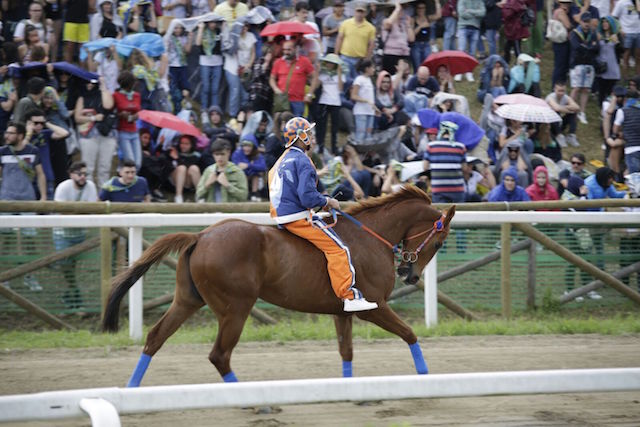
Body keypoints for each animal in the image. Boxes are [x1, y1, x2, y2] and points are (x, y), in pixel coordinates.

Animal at [102, 185, 455, 386]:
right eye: (439, 242)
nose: (411, 275)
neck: (368, 236)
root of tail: (200, 235)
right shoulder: (373, 306)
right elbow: (410, 333)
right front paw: (425, 376)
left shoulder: (342, 312)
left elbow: (347, 352)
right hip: (236, 308)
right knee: (219, 356)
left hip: (187, 300)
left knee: (154, 338)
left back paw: (132, 389)